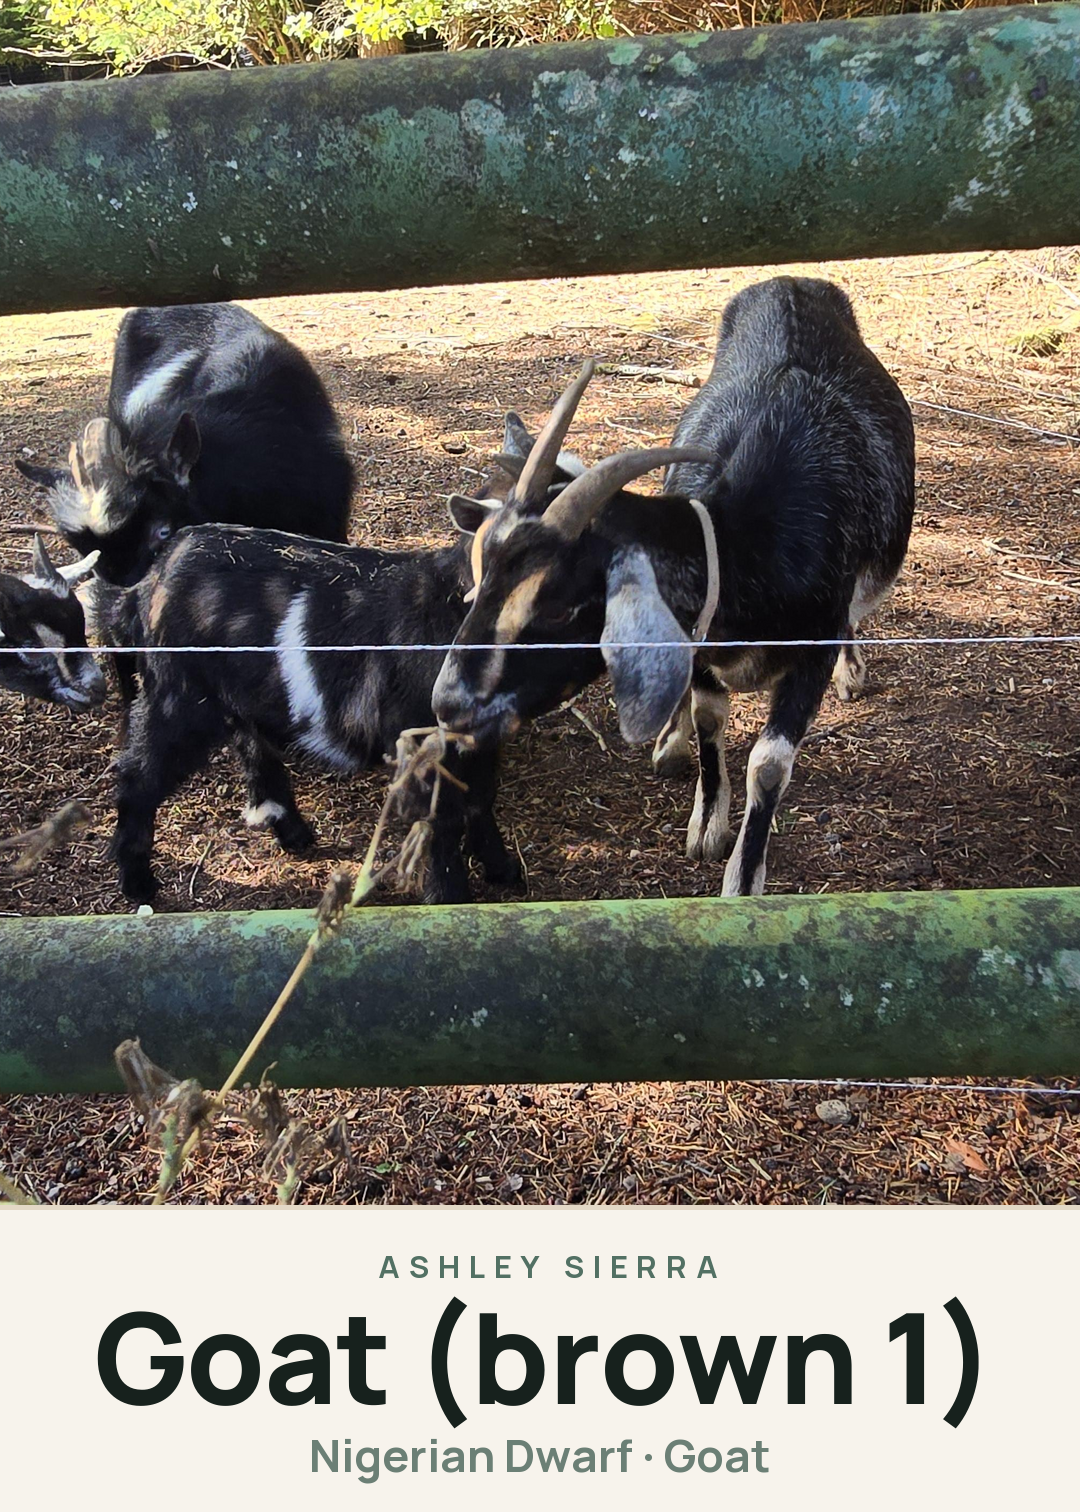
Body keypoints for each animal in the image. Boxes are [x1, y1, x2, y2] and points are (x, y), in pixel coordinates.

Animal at [110, 523, 521, 906]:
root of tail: (146, 583)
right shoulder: (423, 743)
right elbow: (441, 822)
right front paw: (451, 902)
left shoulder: (481, 746)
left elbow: (481, 799)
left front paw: (503, 870)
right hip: (179, 698)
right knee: (138, 779)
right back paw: (138, 885)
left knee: (252, 745)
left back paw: (293, 833)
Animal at [432, 277, 915, 896]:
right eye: (484, 576)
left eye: (560, 609)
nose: (447, 701)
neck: (748, 537)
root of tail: (790, 284)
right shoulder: (701, 637)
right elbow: (710, 718)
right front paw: (707, 820)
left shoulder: (813, 645)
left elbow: (769, 765)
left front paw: (743, 879)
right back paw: (670, 740)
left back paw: (852, 672)